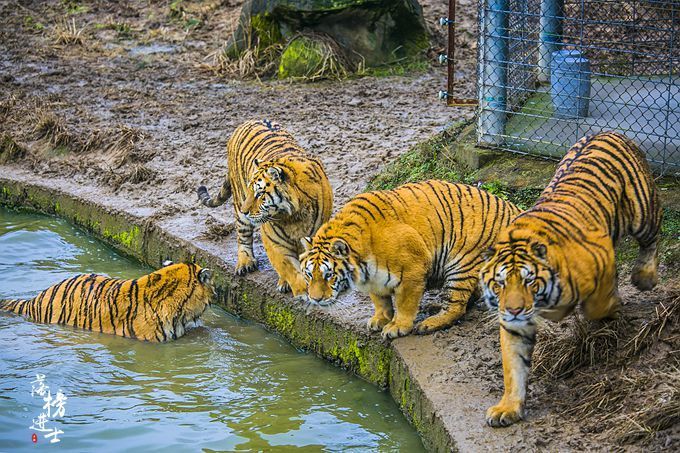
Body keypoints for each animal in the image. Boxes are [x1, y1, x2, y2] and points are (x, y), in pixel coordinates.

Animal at [195, 120, 334, 296]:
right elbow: (289, 269)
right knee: (243, 236)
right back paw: (245, 263)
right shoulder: (274, 241)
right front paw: (301, 289)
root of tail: (249, 120)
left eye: (259, 193)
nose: (246, 211)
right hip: (239, 204)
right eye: (251, 191)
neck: (295, 216)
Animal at [298, 178, 520, 338]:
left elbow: (404, 304)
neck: (362, 262)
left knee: (456, 305)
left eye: (329, 275)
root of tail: (514, 210)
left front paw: (397, 327)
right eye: (309, 275)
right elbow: (380, 301)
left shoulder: (412, 271)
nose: (315, 299)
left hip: (462, 263)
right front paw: (379, 320)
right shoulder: (373, 280)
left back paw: (429, 323)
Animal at [480, 132, 660, 428]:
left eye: (529, 281)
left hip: (642, 212)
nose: (514, 309)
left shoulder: (602, 254)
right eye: (500, 283)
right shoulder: (514, 326)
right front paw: (508, 408)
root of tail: (609, 132)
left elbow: (598, 304)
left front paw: (610, 309)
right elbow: (513, 367)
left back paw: (644, 277)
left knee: (651, 239)